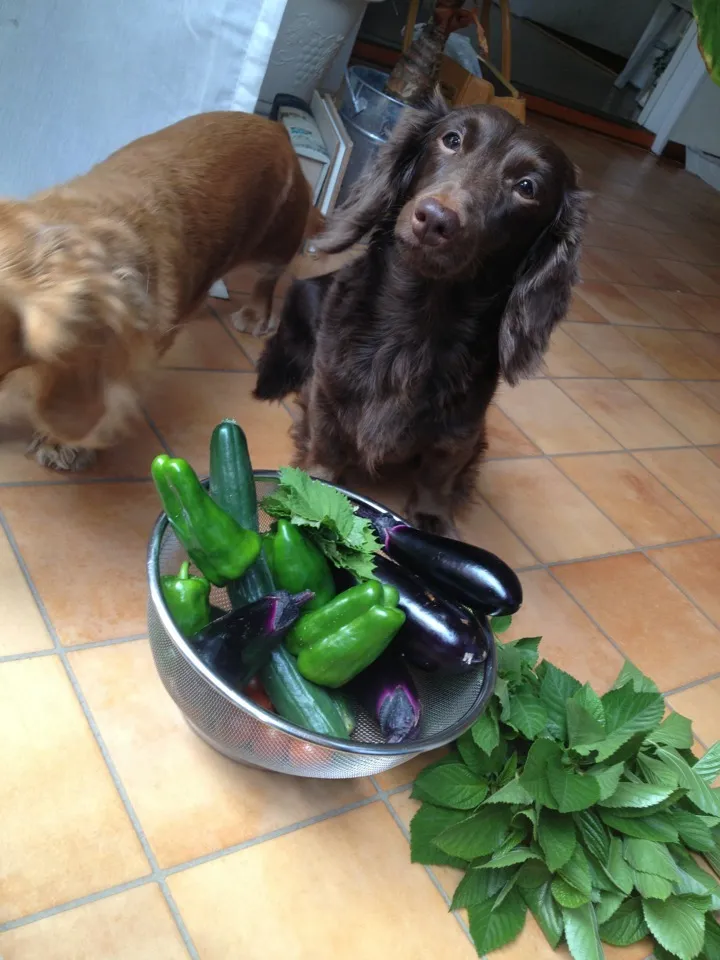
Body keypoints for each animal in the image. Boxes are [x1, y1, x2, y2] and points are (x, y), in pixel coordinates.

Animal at [253, 96, 584, 536]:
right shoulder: (325, 390)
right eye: (452, 139)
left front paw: (432, 518)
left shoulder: (462, 428)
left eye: (527, 187)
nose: (436, 218)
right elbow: (327, 446)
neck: (418, 320)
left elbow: (438, 474)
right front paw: (318, 489)